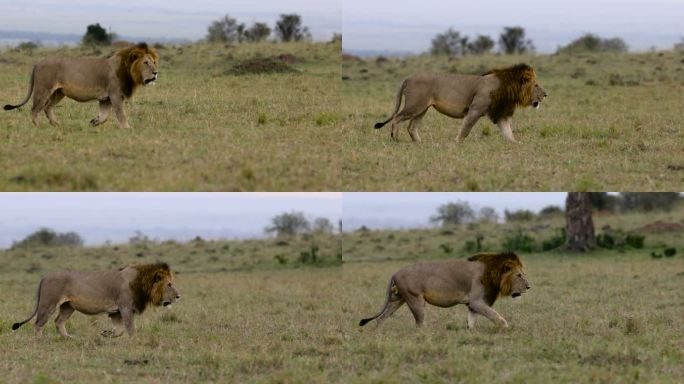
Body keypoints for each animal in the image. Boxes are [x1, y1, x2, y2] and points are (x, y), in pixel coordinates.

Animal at [4, 42, 159, 127]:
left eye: (153, 62)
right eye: (146, 63)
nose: (156, 72)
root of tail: (37, 63)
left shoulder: (106, 99)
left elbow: (104, 116)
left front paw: (94, 122)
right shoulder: (115, 95)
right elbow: (121, 114)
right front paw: (127, 128)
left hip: (58, 93)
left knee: (47, 108)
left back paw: (57, 125)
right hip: (43, 90)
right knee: (35, 110)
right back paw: (39, 127)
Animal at [12, 262, 179, 338]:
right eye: (169, 284)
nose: (179, 296)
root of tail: (45, 276)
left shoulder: (116, 313)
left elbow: (119, 330)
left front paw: (106, 333)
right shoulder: (125, 308)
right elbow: (130, 328)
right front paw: (134, 341)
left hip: (68, 306)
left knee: (58, 322)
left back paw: (68, 338)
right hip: (49, 304)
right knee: (38, 323)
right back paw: (41, 340)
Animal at [360, 252, 532, 330]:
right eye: (519, 275)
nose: (529, 287)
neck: (492, 273)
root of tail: (395, 272)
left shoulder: (471, 305)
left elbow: (471, 322)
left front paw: (470, 334)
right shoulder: (477, 302)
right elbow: (496, 316)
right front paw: (507, 328)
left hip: (398, 298)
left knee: (381, 318)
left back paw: (377, 333)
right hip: (415, 299)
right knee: (419, 324)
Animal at [374, 63, 544, 143]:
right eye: (536, 85)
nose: (546, 94)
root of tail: (408, 77)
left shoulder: (500, 114)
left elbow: (508, 132)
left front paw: (517, 143)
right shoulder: (475, 110)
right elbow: (466, 129)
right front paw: (457, 143)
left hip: (422, 108)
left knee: (411, 127)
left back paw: (420, 143)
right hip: (414, 106)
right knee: (397, 118)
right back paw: (395, 139)